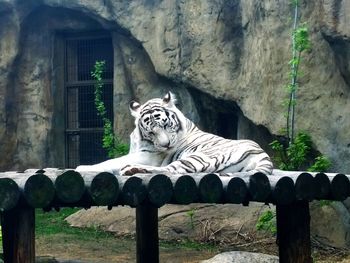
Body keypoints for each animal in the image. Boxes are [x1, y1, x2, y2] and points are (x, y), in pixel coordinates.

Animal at [76, 92, 274, 176]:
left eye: (165, 124)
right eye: (151, 132)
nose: (166, 145)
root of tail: (264, 155)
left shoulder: (148, 157)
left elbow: (110, 162)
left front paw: (81, 167)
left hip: (199, 156)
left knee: (170, 170)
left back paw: (132, 169)